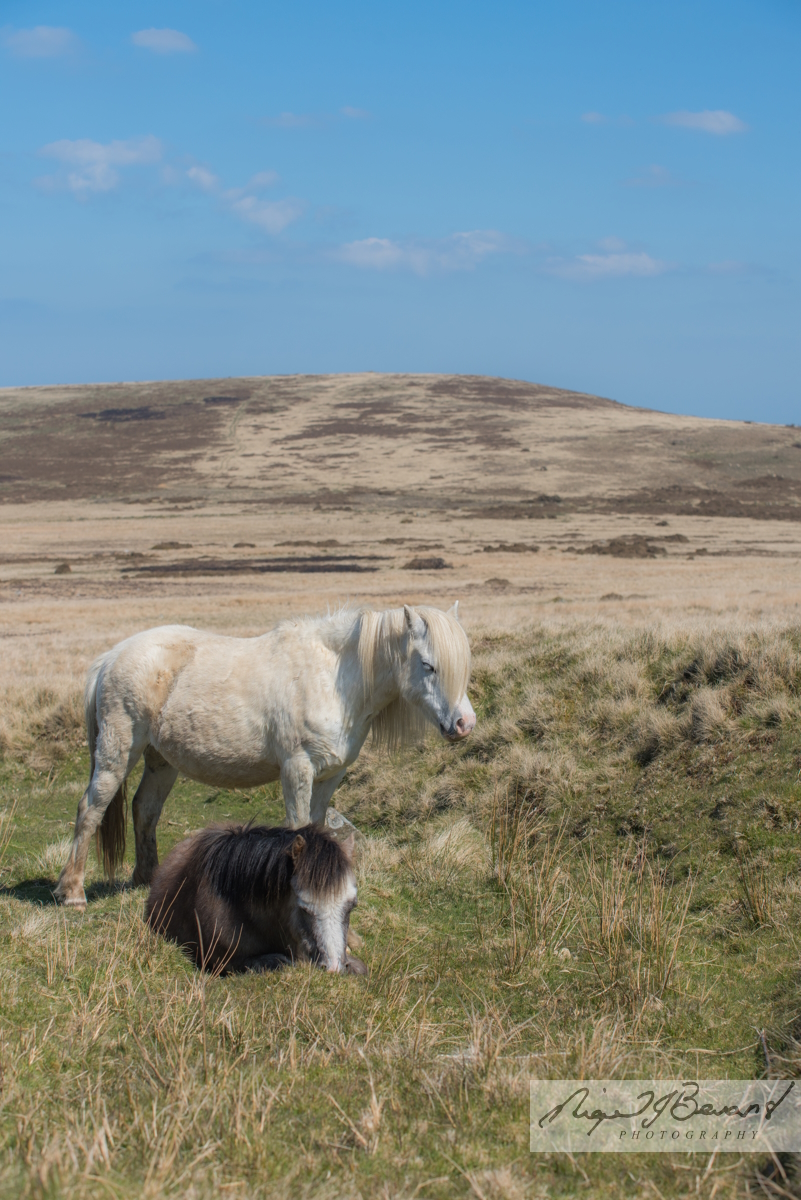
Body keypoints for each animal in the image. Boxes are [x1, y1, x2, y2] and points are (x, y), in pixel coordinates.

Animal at [55, 603, 475, 908]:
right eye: (428, 665)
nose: (464, 724)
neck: (334, 679)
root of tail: (111, 657)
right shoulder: (297, 769)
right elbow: (298, 828)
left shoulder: (329, 776)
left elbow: (317, 827)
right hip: (118, 751)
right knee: (90, 809)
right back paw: (72, 892)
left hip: (161, 761)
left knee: (144, 809)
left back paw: (147, 879)